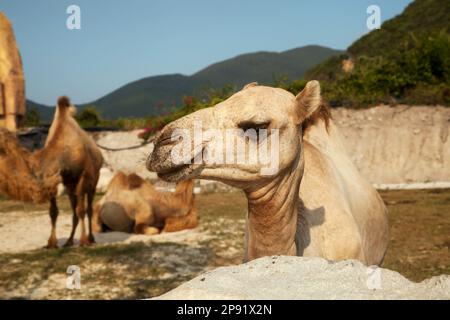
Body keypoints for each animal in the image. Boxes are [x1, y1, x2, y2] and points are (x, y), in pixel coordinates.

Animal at [0, 96, 103, 249]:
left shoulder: (83, 175)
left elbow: (82, 210)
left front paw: (84, 241)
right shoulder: (53, 179)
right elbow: (53, 212)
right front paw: (51, 243)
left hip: (94, 180)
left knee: (89, 208)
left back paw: (91, 238)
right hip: (70, 186)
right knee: (74, 209)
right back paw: (69, 241)